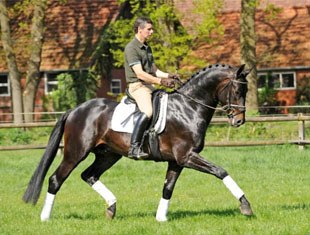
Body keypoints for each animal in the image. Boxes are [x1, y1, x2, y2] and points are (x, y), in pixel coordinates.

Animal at [23, 63, 253, 222]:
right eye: (237, 91)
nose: (239, 121)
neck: (188, 107)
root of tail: (75, 110)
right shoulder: (186, 156)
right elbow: (220, 171)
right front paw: (245, 206)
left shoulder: (177, 161)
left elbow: (167, 188)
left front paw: (161, 218)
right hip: (75, 153)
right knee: (56, 179)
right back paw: (45, 217)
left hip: (109, 154)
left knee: (89, 175)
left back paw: (111, 208)